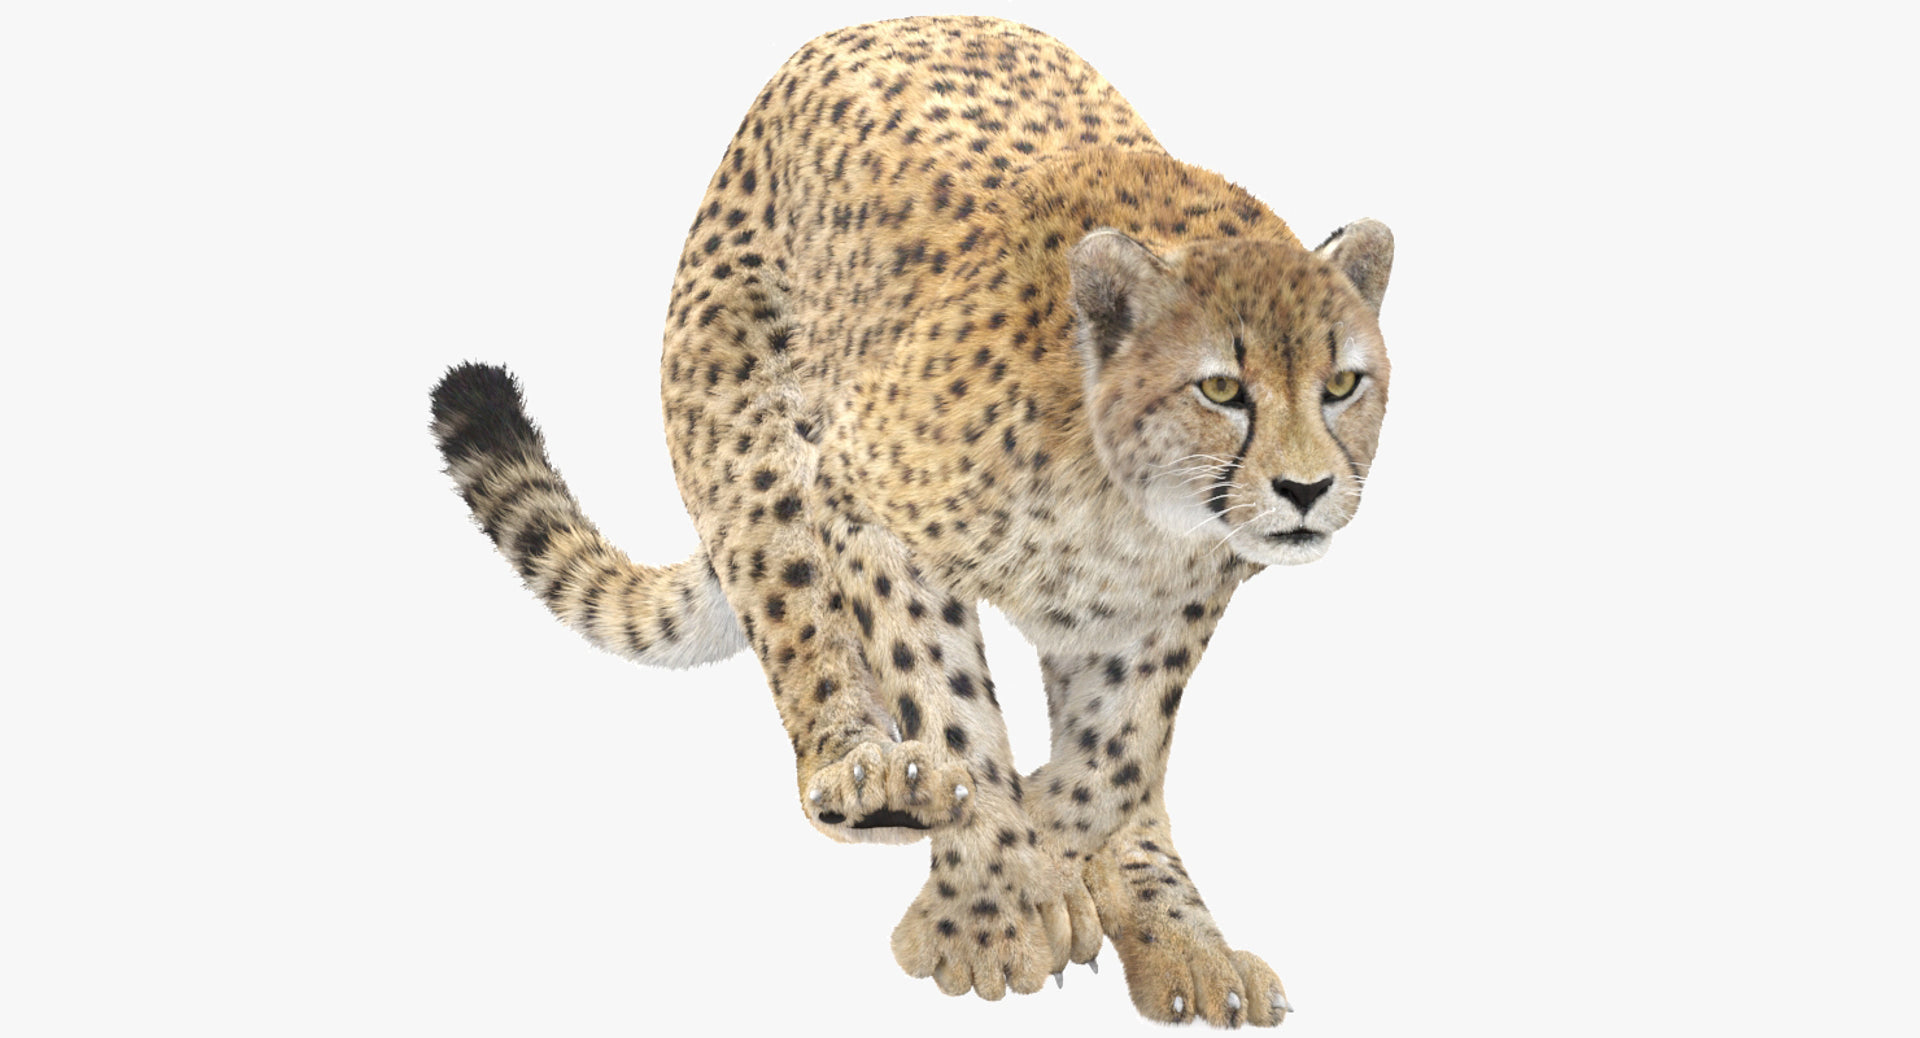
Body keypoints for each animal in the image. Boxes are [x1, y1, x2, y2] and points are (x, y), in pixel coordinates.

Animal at [429, 14, 1393, 1028]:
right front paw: (995, 909)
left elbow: (1119, 752)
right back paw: (869, 778)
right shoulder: (861, 504)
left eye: (1342, 383)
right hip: (754, 445)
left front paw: (1082, 872)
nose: (1306, 488)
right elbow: (948, 701)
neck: (1127, 512)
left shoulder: (1171, 605)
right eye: (1222, 388)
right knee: (803, 630)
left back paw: (1176, 931)